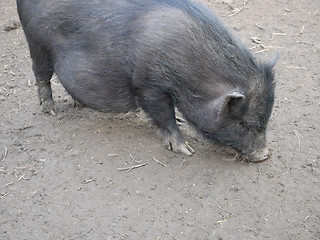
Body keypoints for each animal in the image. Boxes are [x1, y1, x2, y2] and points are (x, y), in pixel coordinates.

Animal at [17, 0, 278, 162]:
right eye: (245, 124)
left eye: (265, 121)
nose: (265, 155)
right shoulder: (148, 85)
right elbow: (164, 115)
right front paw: (186, 150)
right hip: (37, 45)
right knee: (41, 76)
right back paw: (51, 111)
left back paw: (78, 105)